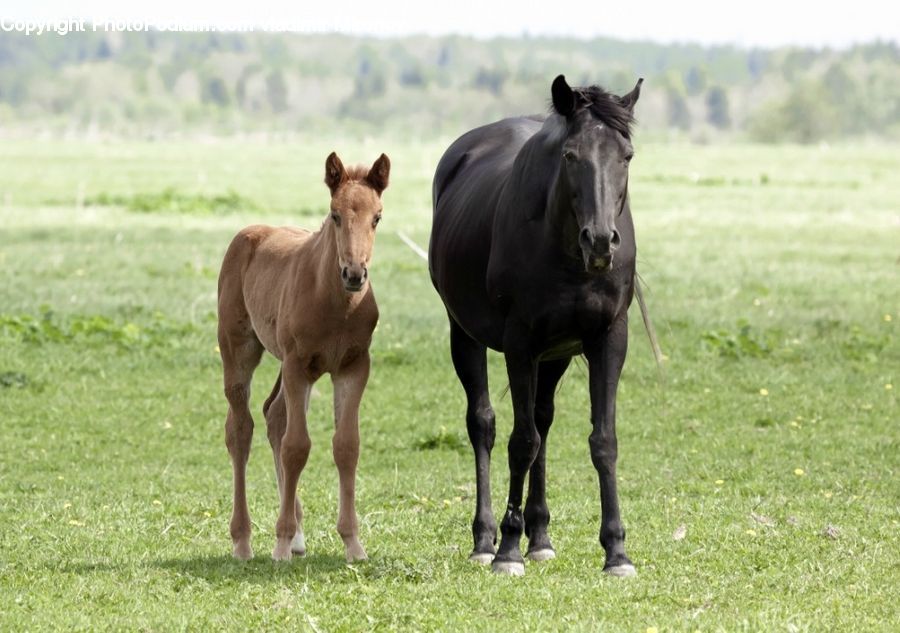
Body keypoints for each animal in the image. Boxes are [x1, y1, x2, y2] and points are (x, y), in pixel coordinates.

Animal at [217, 151, 390, 562]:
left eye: (377, 217)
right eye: (335, 214)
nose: (354, 274)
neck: (335, 304)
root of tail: (249, 233)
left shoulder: (353, 367)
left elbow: (346, 446)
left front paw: (353, 543)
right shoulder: (298, 364)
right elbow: (296, 447)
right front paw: (279, 544)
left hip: (293, 369)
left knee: (274, 415)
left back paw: (296, 535)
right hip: (239, 349)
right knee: (241, 429)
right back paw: (244, 540)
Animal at [429, 75, 643, 576]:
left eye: (626, 155)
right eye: (570, 156)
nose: (600, 240)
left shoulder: (609, 338)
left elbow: (602, 440)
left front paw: (616, 551)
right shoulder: (520, 342)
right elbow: (520, 442)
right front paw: (507, 548)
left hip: (555, 353)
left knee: (543, 420)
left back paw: (540, 536)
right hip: (465, 335)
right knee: (484, 424)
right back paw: (485, 539)